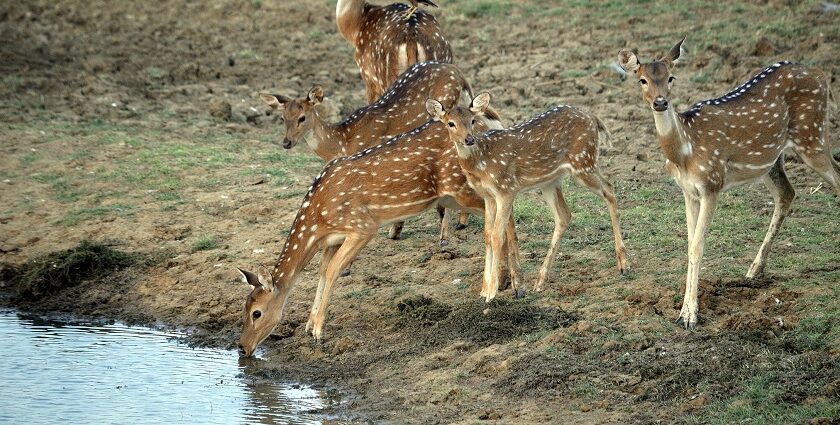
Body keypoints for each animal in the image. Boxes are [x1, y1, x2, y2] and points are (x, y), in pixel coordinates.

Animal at [236, 113, 520, 358]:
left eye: (257, 313)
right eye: (244, 307)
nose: (242, 348)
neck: (318, 219)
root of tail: (487, 126)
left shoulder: (362, 226)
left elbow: (333, 270)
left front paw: (317, 331)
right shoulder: (332, 239)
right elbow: (323, 271)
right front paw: (309, 325)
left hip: (464, 188)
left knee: (505, 214)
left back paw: (505, 286)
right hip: (456, 195)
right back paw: (507, 283)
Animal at [262, 61, 486, 243]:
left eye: (302, 118)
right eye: (282, 118)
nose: (286, 142)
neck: (343, 141)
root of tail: (459, 73)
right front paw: (395, 232)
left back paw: (446, 235)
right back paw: (461, 222)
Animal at [430, 93, 628, 302]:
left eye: (473, 120)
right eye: (451, 123)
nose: (469, 139)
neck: (481, 163)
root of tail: (593, 117)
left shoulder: (506, 189)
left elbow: (497, 236)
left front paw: (491, 292)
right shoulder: (488, 196)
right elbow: (487, 235)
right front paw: (483, 289)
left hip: (583, 162)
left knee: (609, 189)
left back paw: (623, 264)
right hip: (551, 181)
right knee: (564, 215)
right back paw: (540, 281)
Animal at [616, 36, 840, 328]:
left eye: (671, 77)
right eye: (641, 79)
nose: (660, 102)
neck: (684, 151)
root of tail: (820, 74)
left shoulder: (712, 184)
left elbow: (697, 247)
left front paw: (691, 315)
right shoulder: (688, 191)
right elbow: (689, 245)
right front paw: (683, 311)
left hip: (811, 136)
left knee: (835, 178)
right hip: (772, 159)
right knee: (787, 193)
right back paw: (754, 270)